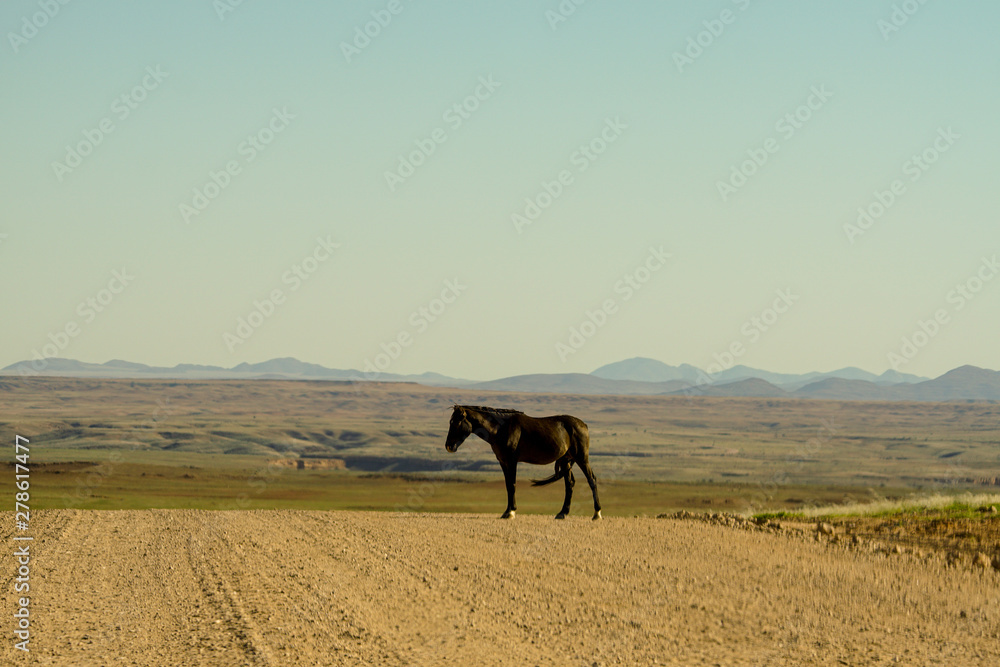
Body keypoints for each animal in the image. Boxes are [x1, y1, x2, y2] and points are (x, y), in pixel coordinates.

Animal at [446, 404, 600, 520]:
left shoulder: (511, 461)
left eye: (457, 422)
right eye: (450, 422)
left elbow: (512, 484)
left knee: (591, 479)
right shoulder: (503, 462)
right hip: (565, 460)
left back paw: (596, 514)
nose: (448, 446)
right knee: (569, 483)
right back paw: (562, 513)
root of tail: (583, 425)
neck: (501, 428)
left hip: (581, 458)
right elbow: (508, 485)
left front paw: (511, 512)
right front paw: (507, 511)